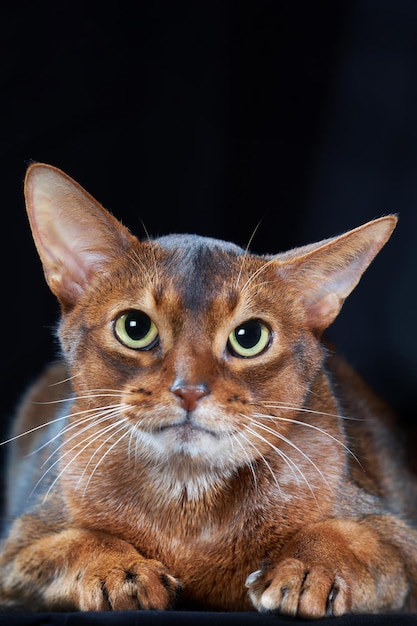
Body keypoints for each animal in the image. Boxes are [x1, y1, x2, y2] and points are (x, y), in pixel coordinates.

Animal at [0, 160, 416, 616]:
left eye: (249, 337)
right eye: (134, 327)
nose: (190, 390)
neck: (188, 506)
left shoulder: (400, 538)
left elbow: (345, 538)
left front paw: (308, 570)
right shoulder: (18, 545)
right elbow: (75, 542)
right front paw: (119, 570)